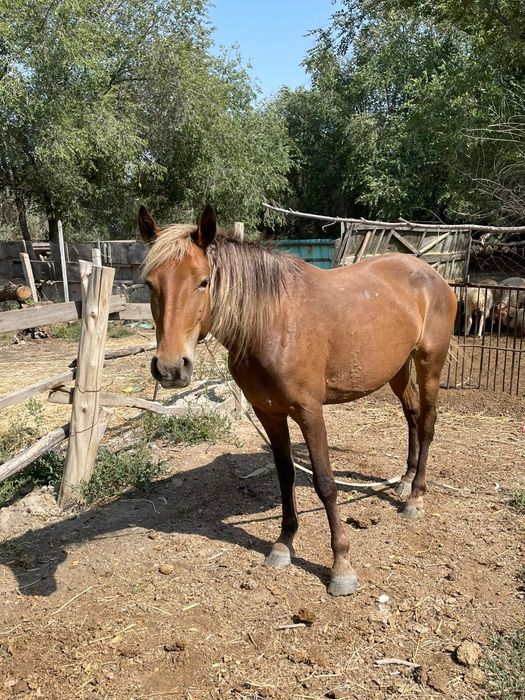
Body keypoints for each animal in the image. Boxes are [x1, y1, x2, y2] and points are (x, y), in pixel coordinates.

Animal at [139, 204, 458, 597]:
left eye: (203, 282)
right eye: (149, 283)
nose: (171, 368)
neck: (270, 324)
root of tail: (431, 274)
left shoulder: (309, 412)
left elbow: (325, 483)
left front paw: (341, 566)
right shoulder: (269, 413)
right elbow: (286, 475)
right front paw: (284, 543)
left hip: (430, 362)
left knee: (426, 422)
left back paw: (416, 497)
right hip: (397, 367)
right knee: (411, 413)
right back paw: (405, 480)